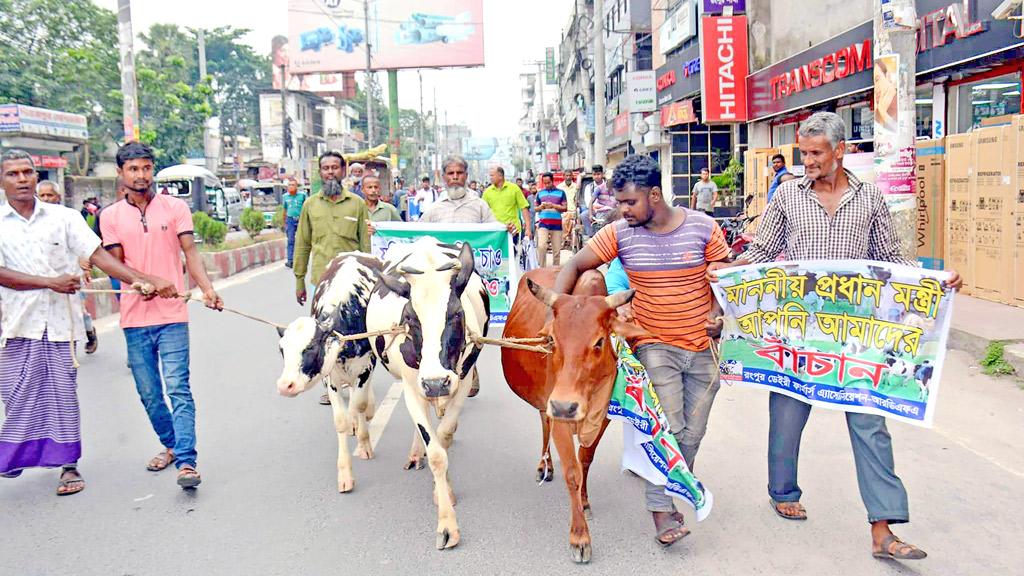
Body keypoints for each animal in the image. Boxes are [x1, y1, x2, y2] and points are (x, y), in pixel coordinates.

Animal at [366, 236, 489, 545]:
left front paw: (444, 493)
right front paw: (447, 524)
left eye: (456, 313)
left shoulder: (461, 383)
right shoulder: (413, 387)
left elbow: (443, 438)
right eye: (410, 318)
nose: (435, 383)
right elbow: (434, 452)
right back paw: (415, 452)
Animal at [501, 266, 647, 561]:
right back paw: (543, 465)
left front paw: (585, 501)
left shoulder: (602, 419)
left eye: (599, 342)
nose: (565, 406)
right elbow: (571, 472)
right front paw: (579, 538)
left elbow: (585, 461)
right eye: (552, 340)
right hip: (546, 402)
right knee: (544, 421)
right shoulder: (559, 415)